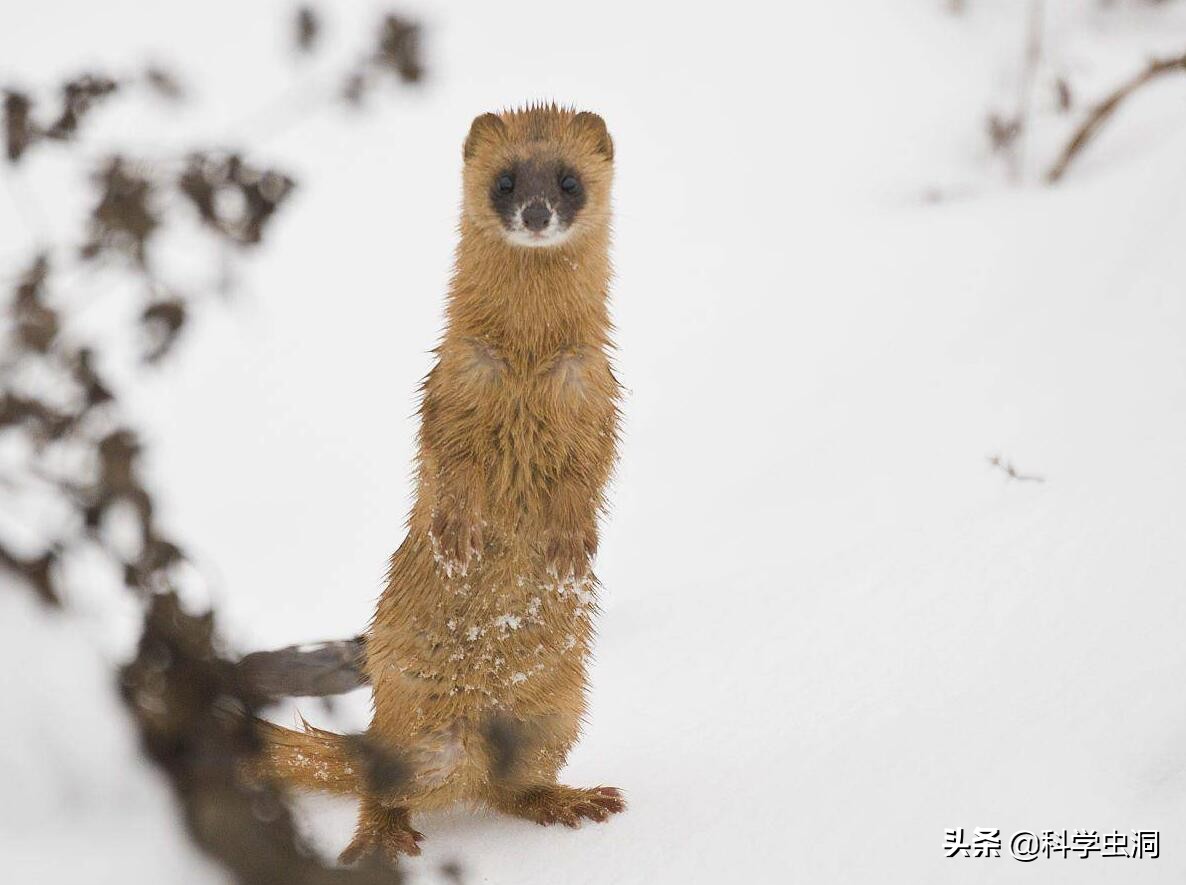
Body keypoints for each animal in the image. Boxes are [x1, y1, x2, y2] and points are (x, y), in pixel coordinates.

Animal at [258, 104, 626, 863]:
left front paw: (572, 552)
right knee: (385, 785)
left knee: (513, 788)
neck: (526, 368)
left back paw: (576, 800)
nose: (537, 212)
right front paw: (457, 540)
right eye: (506, 178)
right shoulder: (452, 386)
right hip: (418, 731)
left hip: (557, 711)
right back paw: (379, 839)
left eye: (569, 180)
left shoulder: (596, 395)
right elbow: (444, 465)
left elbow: (589, 474)